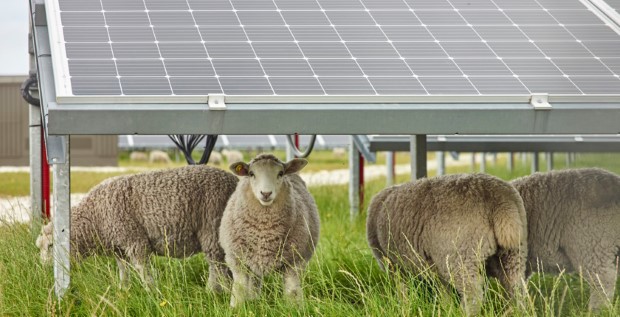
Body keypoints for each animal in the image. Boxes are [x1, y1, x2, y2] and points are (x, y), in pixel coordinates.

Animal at [34, 165, 237, 292]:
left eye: (51, 246)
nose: (44, 271)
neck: (95, 217)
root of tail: (234, 181)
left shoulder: (134, 240)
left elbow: (143, 271)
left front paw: (152, 293)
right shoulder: (119, 247)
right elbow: (123, 271)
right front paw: (124, 290)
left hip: (213, 228)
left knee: (217, 267)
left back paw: (213, 292)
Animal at [219, 153, 320, 306]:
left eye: (280, 173)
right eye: (251, 173)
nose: (266, 193)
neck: (264, 232)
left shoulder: (294, 263)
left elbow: (293, 292)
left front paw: (295, 308)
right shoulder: (237, 261)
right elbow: (239, 290)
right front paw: (236, 308)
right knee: (254, 283)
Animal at [366, 174, 532, 314]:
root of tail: (499, 199)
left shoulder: (391, 264)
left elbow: (402, 289)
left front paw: (404, 306)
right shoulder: (436, 266)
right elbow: (443, 291)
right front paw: (446, 307)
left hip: (461, 256)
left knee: (473, 295)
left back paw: (465, 313)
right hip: (513, 252)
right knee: (516, 288)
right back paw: (516, 311)